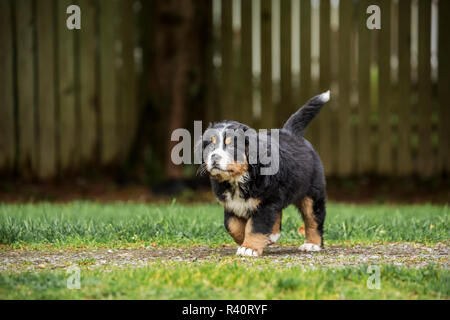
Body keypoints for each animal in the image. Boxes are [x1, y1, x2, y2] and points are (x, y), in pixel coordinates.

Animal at [198, 91, 330, 256]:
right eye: (210, 146)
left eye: (232, 146)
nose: (214, 157)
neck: (238, 179)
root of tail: (291, 133)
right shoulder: (232, 205)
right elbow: (232, 226)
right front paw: (245, 241)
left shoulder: (266, 201)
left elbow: (256, 226)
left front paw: (249, 248)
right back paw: (272, 236)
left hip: (312, 194)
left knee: (314, 219)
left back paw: (312, 244)